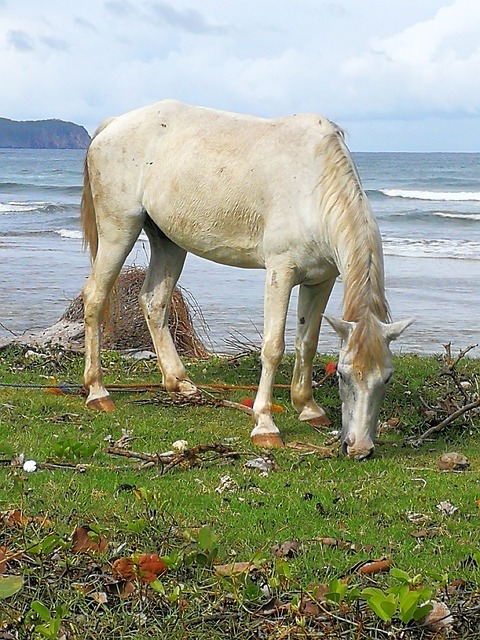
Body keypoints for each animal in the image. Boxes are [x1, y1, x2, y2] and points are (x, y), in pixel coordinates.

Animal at [80, 99, 410, 460]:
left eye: (387, 379)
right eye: (344, 376)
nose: (360, 448)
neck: (314, 187)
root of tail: (112, 126)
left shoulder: (320, 281)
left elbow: (306, 343)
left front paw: (308, 408)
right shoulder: (281, 273)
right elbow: (274, 347)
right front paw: (265, 425)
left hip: (168, 242)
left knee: (154, 302)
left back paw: (180, 383)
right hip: (119, 231)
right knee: (95, 297)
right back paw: (98, 392)